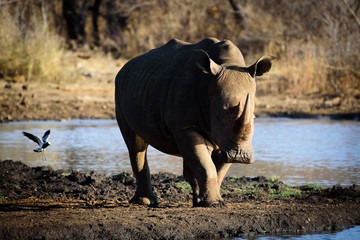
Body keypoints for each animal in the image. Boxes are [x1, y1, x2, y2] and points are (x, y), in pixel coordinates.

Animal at [114, 37, 272, 206]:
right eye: (218, 117)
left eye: (254, 118)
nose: (240, 157)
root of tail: (125, 67)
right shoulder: (186, 126)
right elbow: (206, 165)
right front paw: (213, 202)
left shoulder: (225, 141)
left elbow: (215, 167)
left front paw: (213, 200)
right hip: (120, 89)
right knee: (136, 145)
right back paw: (146, 202)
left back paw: (196, 200)